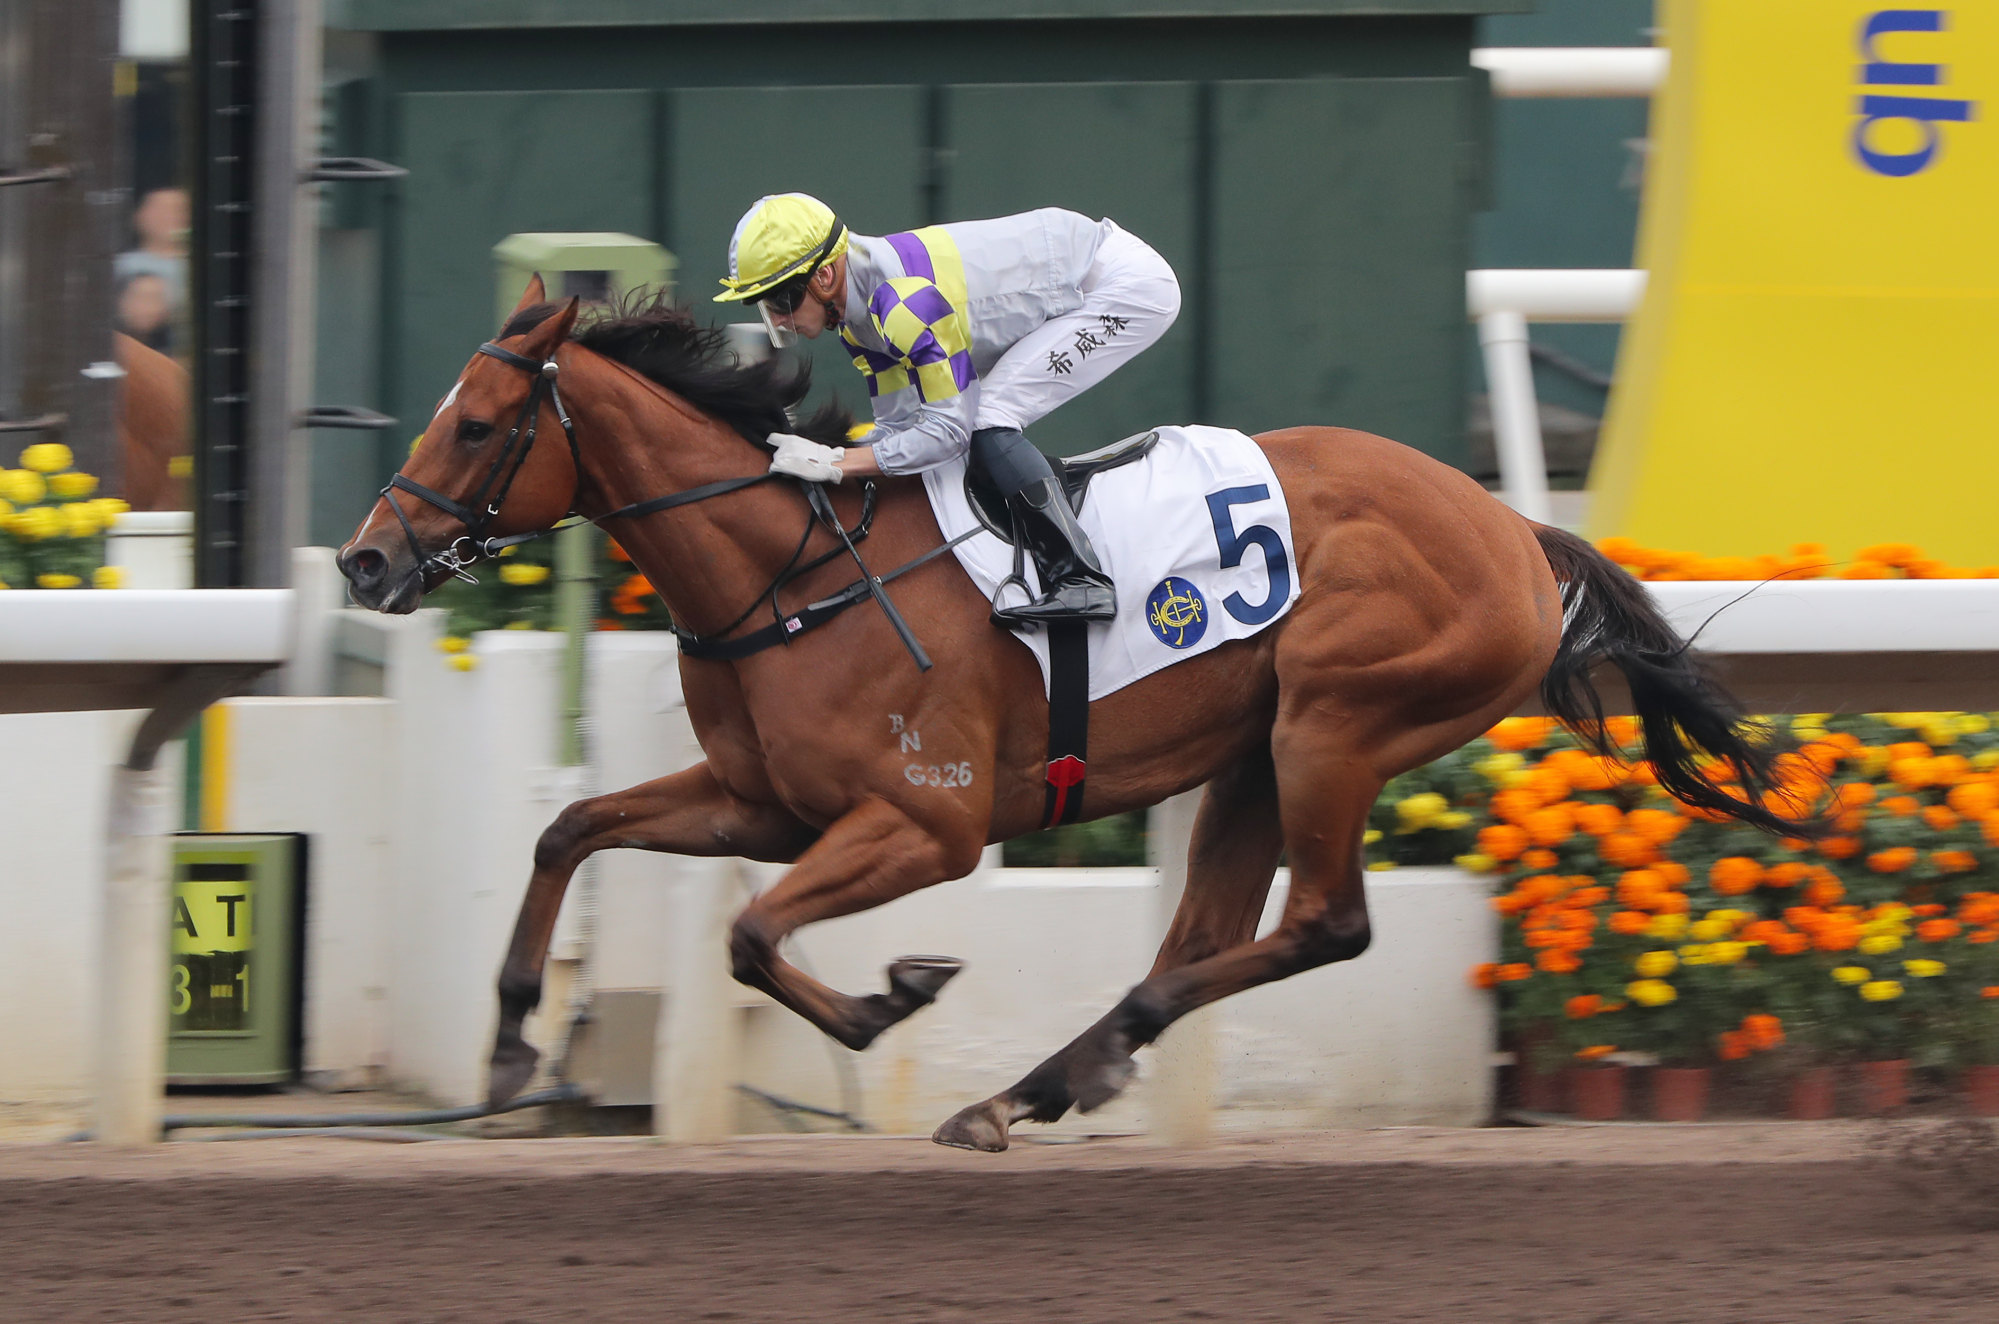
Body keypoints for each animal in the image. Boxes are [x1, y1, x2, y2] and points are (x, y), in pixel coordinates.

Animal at [335, 278, 1807, 1152]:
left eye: (476, 426)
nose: (362, 562)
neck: (792, 572)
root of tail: (1512, 528)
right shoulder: (763, 803)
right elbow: (570, 830)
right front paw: (510, 1046)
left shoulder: (922, 825)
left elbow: (753, 938)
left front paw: (890, 999)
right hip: (1257, 751)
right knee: (1209, 930)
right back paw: (1042, 1082)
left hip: (1335, 725)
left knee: (1322, 925)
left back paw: (1041, 1079)